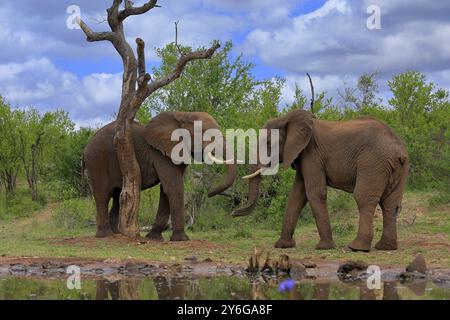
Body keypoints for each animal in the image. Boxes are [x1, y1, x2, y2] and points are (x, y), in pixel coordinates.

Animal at [85, 112, 239, 240]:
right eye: (202, 133)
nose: (209, 193)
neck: (183, 115)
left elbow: (165, 190)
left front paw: (153, 238)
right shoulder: (160, 154)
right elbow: (173, 186)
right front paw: (181, 239)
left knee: (118, 196)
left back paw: (116, 233)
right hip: (96, 160)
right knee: (103, 196)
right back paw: (105, 235)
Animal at [234, 109, 410, 251]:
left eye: (269, 143)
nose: (234, 213)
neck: (287, 118)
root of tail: (398, 149)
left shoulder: (312, 153)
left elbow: (314, 193)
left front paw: (324, 247)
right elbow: (297, 196)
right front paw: (283, 246)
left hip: (373, 163)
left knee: (363, 198)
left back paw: (357, 248)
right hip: (397, 168)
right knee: (391, 203)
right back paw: (385, 247)